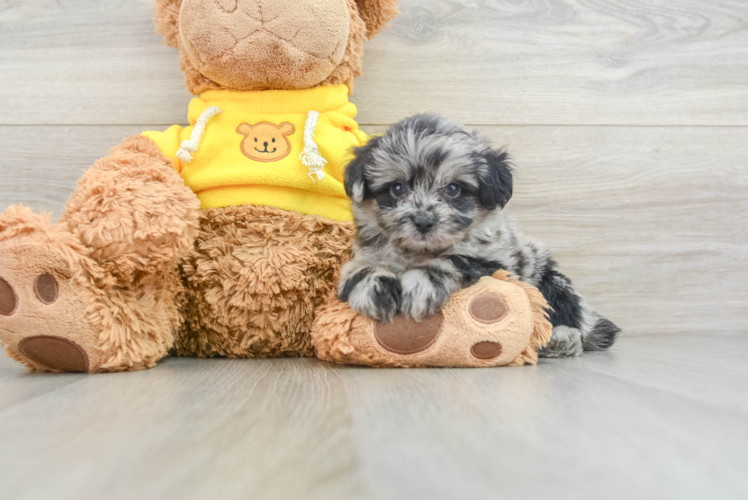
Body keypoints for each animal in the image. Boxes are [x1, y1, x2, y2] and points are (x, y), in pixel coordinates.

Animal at [338, 114, 620, 356]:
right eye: (397, 188)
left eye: (453, 189)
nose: (423, 221)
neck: (418, 252)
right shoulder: (364, 255)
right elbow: (361, 269)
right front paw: (375, 289)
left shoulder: (495, 262)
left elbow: (452, 260)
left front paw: (422, 283)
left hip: (552, 282)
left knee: (569, 317)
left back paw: (558, 339)